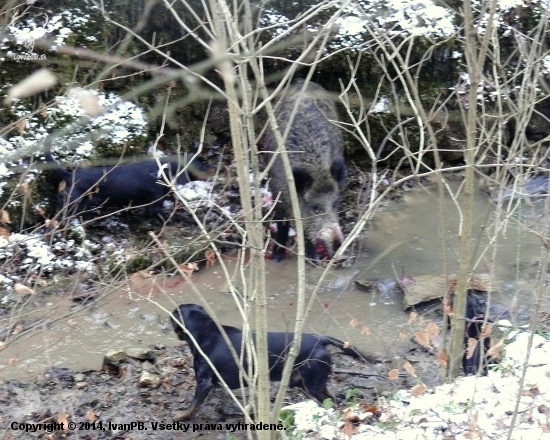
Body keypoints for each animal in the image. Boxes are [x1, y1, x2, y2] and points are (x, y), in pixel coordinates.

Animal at [171, 303, 369, 420]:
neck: (204, 331)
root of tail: (319, 339)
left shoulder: (204, 382)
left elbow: (193, 404)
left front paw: (181, 415)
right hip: (304, 383)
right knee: (331, 398)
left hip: (312, 383)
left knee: (329, 401)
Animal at [263, 80, 347, 262]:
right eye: (315, 208)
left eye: (336, 203)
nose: (338, 246)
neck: (316, 170)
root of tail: (302, 81)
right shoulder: (277, 193)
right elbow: (284, 224)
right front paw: (277, 257)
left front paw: (311, 258)